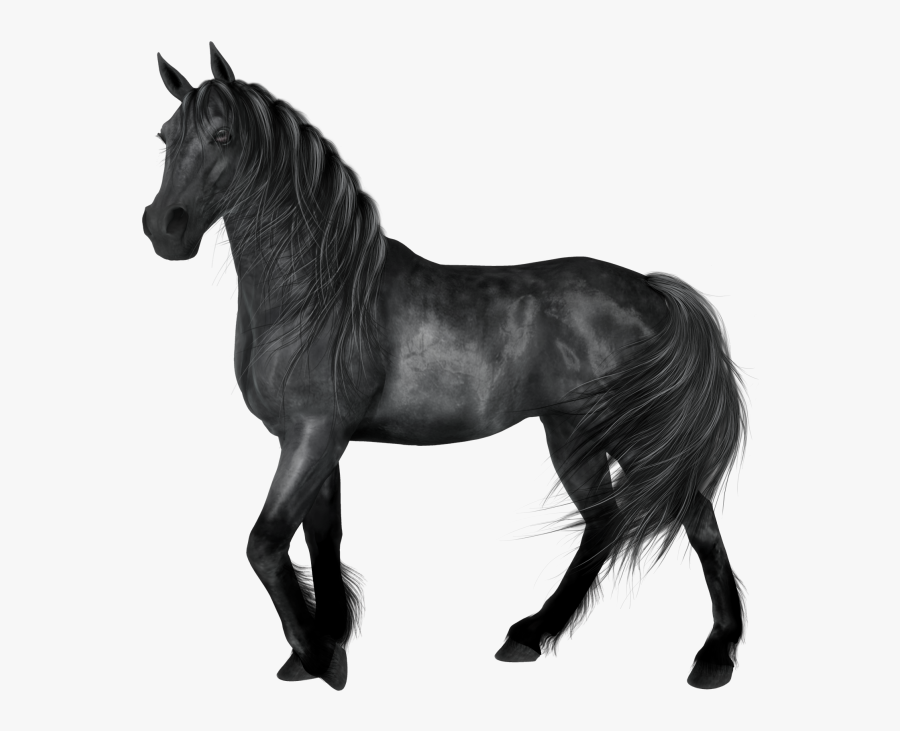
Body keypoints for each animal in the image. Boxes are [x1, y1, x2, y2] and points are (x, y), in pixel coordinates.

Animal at [142, 43, 747, 692]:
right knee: (605, 523)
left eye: (224, 136)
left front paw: (317, 656)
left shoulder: (314, 435)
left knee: (696, 519)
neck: (318, 293)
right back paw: (530, 635)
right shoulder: (314, 440)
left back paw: (715, 654)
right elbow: (322, 538)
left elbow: (265, 544)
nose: (164, 228)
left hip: (630, 432)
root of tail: (652, 292)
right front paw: (327, 645)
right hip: (570, 432)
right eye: (165, 135)